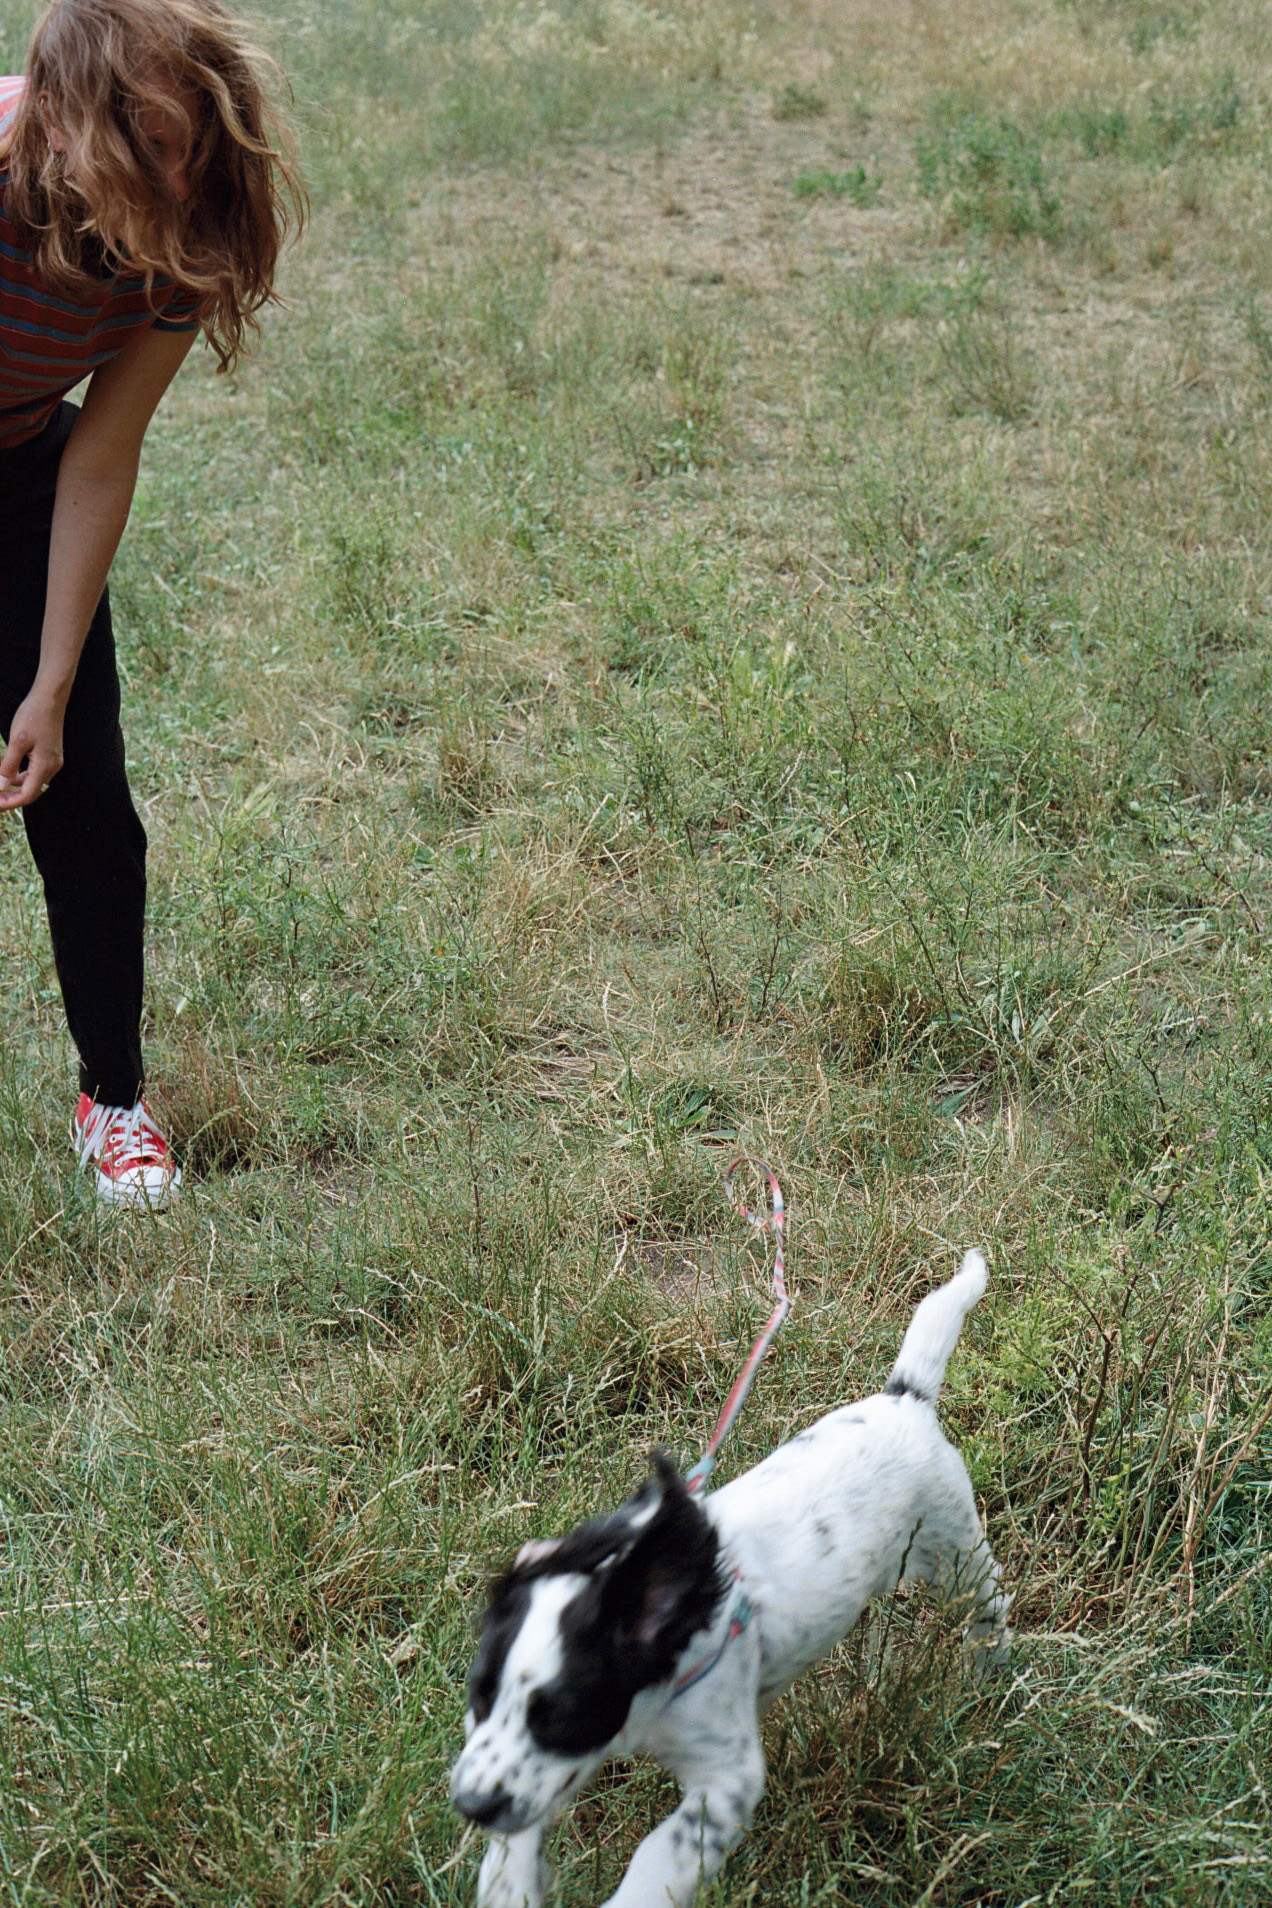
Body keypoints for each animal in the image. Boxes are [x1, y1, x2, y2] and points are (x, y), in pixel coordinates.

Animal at [451, 1251, 1006, 1908]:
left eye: (561, 1715)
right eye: (478, 1695)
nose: (471, 1804)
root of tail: (905, 1398)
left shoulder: (725, 1778)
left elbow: (660, 1857)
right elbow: (516, 1845)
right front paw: (507, 1885)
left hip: (951, 1548)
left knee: (990, 1599)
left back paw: (984, 1671)